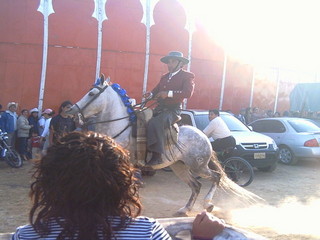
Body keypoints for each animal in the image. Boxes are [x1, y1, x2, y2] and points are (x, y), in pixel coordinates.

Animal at [69, 75, 258, 216]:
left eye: (92, 93)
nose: (71, 110)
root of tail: (203, 136)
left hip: (198, 166)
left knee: (216, 177)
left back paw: (207, 204)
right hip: (179, 167)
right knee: (195, 186)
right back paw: (185, 209)